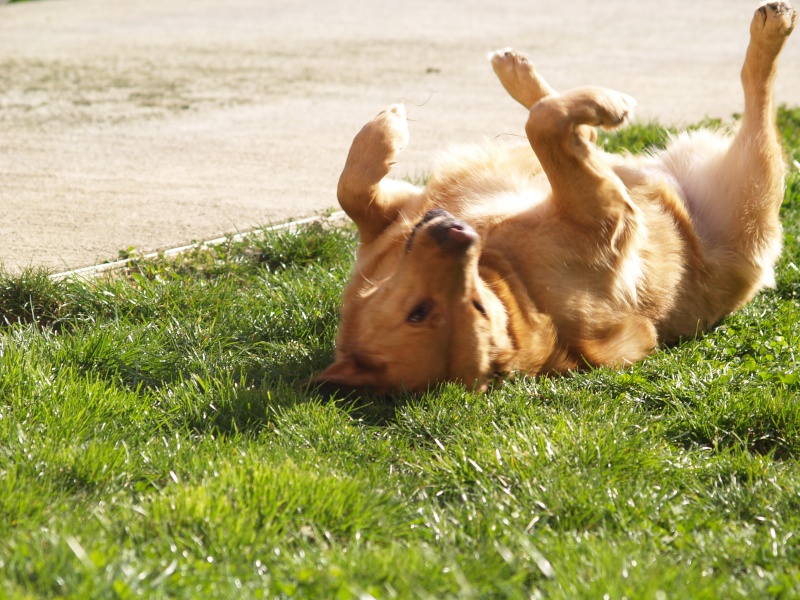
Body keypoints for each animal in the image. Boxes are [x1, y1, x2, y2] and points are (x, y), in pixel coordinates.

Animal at [312, 3, 792, 394]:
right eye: (420, 312)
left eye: (476, 305)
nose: (457, 233)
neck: (508, 275)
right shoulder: (605, 213)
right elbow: (544, 125)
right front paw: (609, 104)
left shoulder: (392, 218)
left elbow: (350, 188)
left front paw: (386, 125)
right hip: (754, 188)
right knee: (758, 92)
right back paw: (772, 30)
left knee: (577, 133)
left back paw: (517, 71)